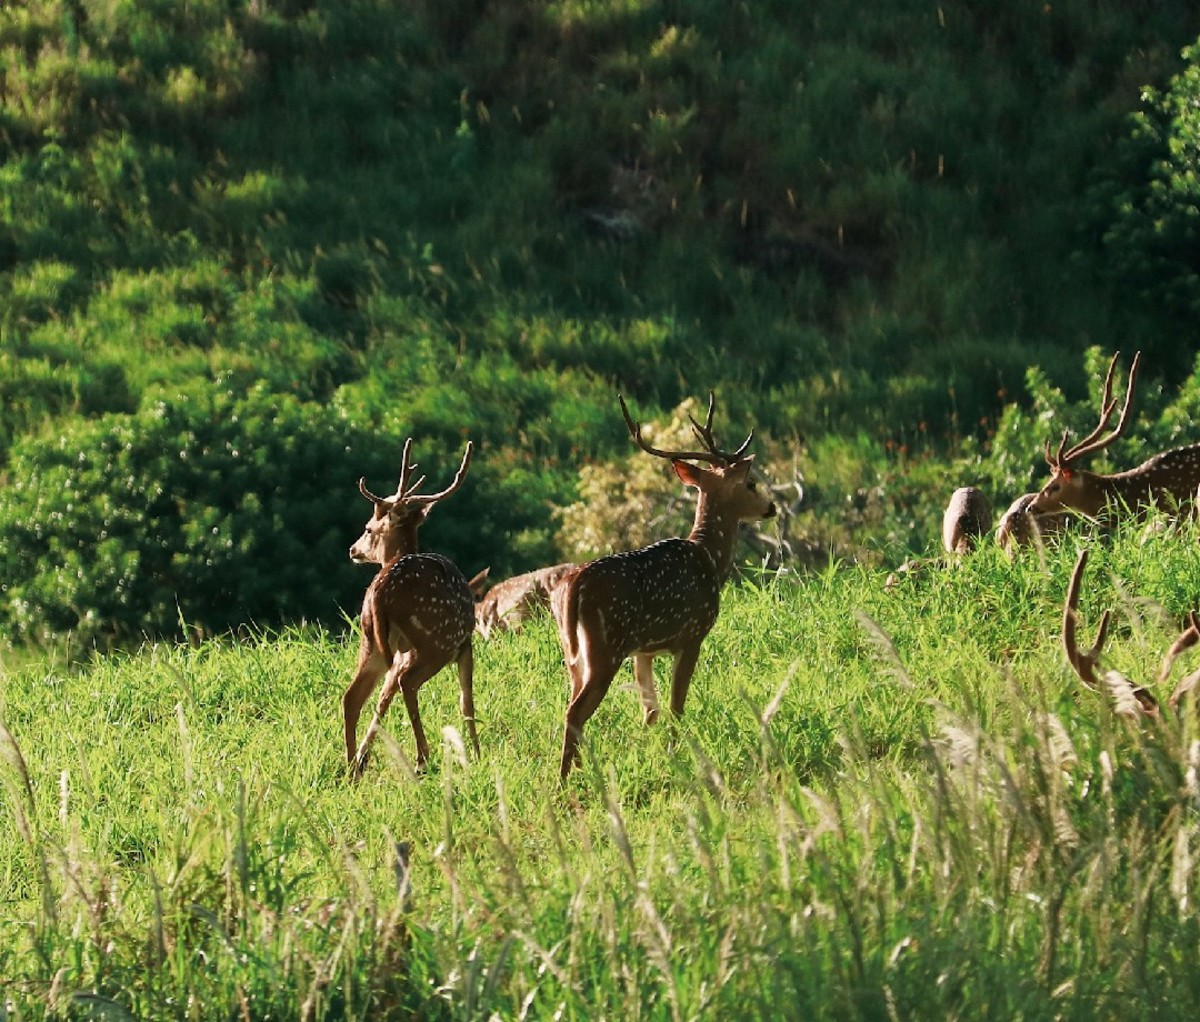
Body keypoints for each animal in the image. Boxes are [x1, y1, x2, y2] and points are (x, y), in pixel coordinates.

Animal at [343, 434, 477, 777]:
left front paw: (363, 757)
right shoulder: (466, 642)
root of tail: (380, 591)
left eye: (367, 528)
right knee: (408, 683)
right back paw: (421, 758)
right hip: (435, 640)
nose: (353, 550)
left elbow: (382, 700)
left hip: (372, 639)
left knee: (353, 696)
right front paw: (478, 753)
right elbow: (466, 699)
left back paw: (350, 769)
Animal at [552, 395, 777, 777]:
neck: (710, 558)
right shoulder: (691, 635)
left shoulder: (643, 650)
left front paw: (650, 754)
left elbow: (650, 711)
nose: (771, 507)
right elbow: (676, 706)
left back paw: (580, 772)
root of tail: (575, 586)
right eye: (750, 485)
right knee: (575, 712)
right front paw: (677, 755)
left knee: (572, 705)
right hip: (606, 646)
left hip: (574, 653)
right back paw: (568, 779)